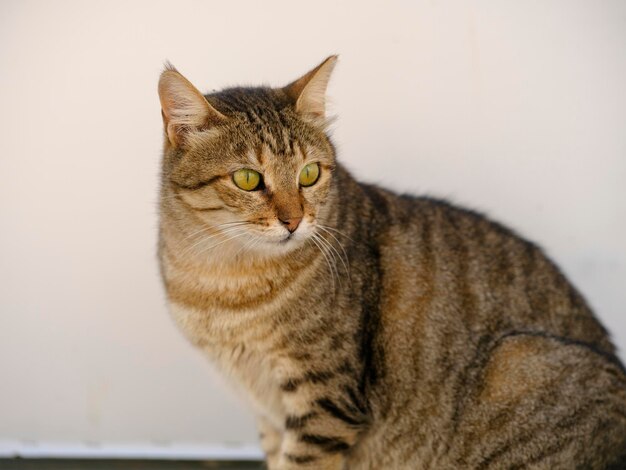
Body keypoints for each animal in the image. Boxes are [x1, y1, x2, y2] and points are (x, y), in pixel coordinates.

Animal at [156, 57, 624, 468]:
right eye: (248, 179)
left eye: (309, 174)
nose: (294, 220)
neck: (223, 279)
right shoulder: (268, 412)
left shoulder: (326, 398)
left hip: (518, 362)